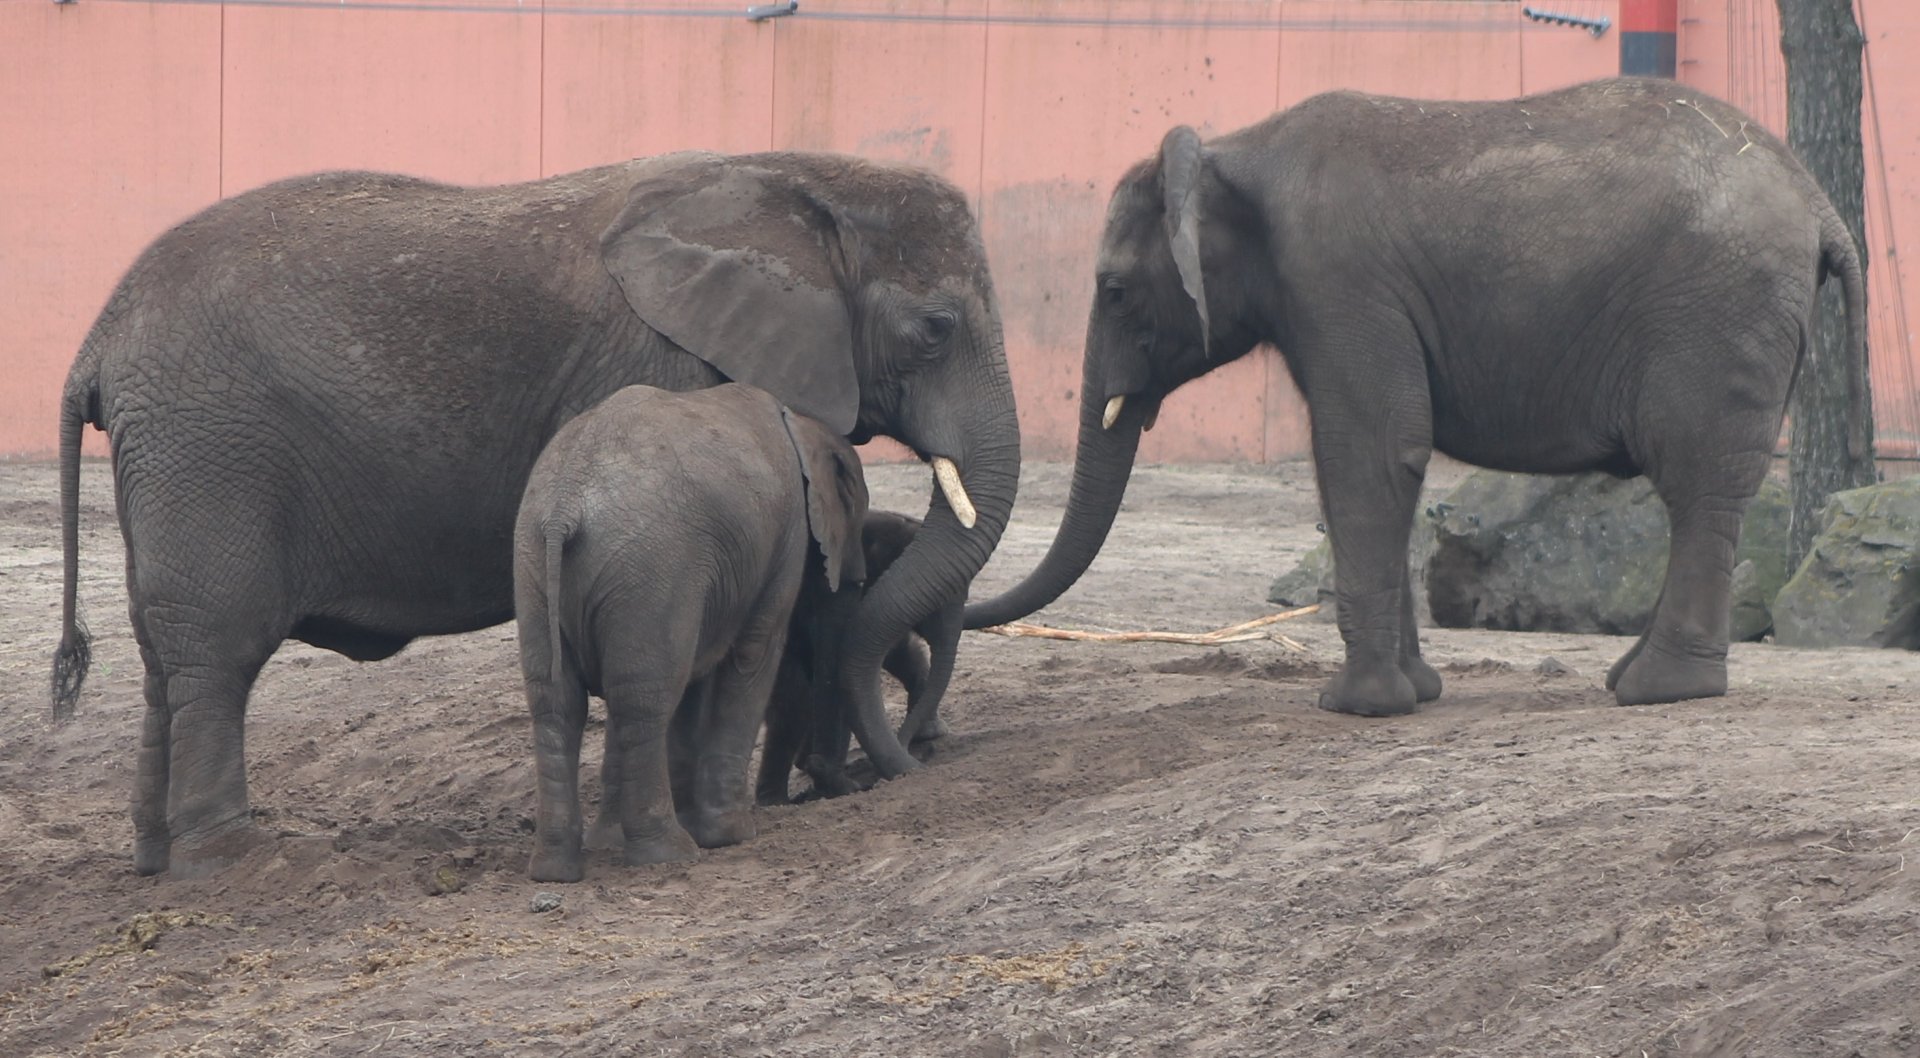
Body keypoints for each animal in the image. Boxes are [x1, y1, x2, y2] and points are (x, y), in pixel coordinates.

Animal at [513, 384, 867, 882]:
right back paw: (669, 853)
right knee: (642, 701)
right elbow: (752, 656)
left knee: (559, 702)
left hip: (537, 566)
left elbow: (694, 677)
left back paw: (556, 869)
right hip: (652, 567)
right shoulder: (786, 538)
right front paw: (731, 834)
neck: (800, 423)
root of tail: (565, 505)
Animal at [965, 77, 1866, 716]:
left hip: (1716, 313)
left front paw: (1357, 708)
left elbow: (1368, 453)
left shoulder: (1337, 278)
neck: (1230, 149)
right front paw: (1415, 694)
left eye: (1114, 292)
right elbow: (1360, 464)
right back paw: (1636, 679)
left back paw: (1657, 691)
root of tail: (1820, 205)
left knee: (1696, 484)